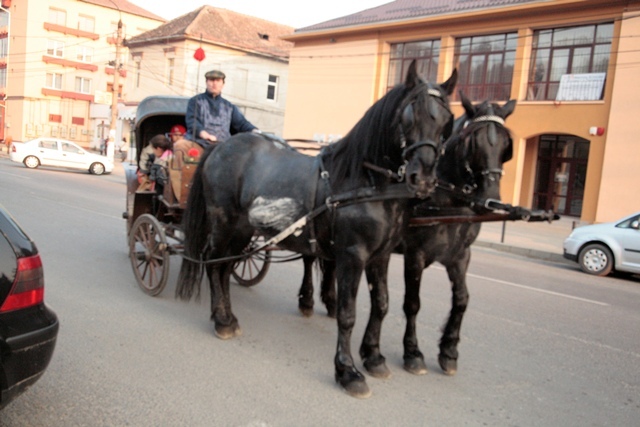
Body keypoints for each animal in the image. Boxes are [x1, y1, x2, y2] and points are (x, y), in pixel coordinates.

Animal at [175, 61, 456, 398]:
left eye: (447, 122)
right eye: (410, 114)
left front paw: (374, 357)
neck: (365, 182)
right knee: (213, 264)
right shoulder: (352, 256)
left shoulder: (381, 256)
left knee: (225, 268)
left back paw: (228, 317)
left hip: (242, 232)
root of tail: (220, 147)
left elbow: (382, 304)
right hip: (224, 225)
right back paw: (221, 320)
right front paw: (348, 371)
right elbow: (348, 314)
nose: (423, 180)